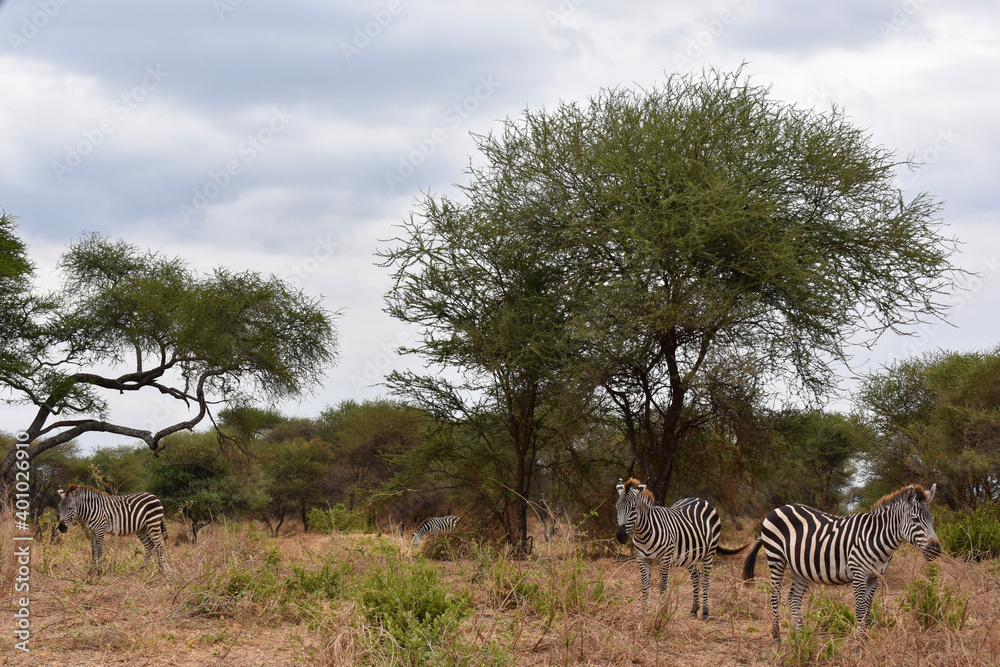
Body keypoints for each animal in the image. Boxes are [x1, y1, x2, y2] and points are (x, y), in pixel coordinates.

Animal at [615, 478, 749, 617]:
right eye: (616, 507)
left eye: (633, 508)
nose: (620, 536)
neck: (644, 534)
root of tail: (701, 499)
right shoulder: (642, 559)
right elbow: (645, 586)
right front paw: (645, 613)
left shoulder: (665, 558)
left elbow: (663, 585)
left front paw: (662, 612)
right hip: (689, 555)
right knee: (696, 576)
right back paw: (694, 610)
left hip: (709, 552)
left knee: (705, 580)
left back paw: (705, 612)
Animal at [742, 483, 941, 644]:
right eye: (915, 520)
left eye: (932, 519)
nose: (937, 550)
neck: (876, 537)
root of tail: (779, 508)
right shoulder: (859, 572)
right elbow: (860, 607)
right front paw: (858, 644)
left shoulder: (876, 576)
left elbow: (868, 607)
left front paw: (864, 639)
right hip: (775, 556)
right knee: (775, 595)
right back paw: (776, 637)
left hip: (800, 567)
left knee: (794, 598)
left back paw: (802, 636)